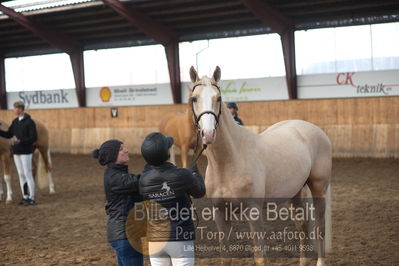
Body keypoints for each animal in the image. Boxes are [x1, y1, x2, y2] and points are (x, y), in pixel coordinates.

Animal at [189, 65, 332, 264]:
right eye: (194, 98)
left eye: (218, 98)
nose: (208, 134)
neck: (229, 161)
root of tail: (315, 130)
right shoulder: (220, 213)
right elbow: (225, 258)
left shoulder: (254, 212)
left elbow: (260, 258)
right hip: (294, 193)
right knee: (302, 225)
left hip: (319, 187)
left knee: (319, 226)